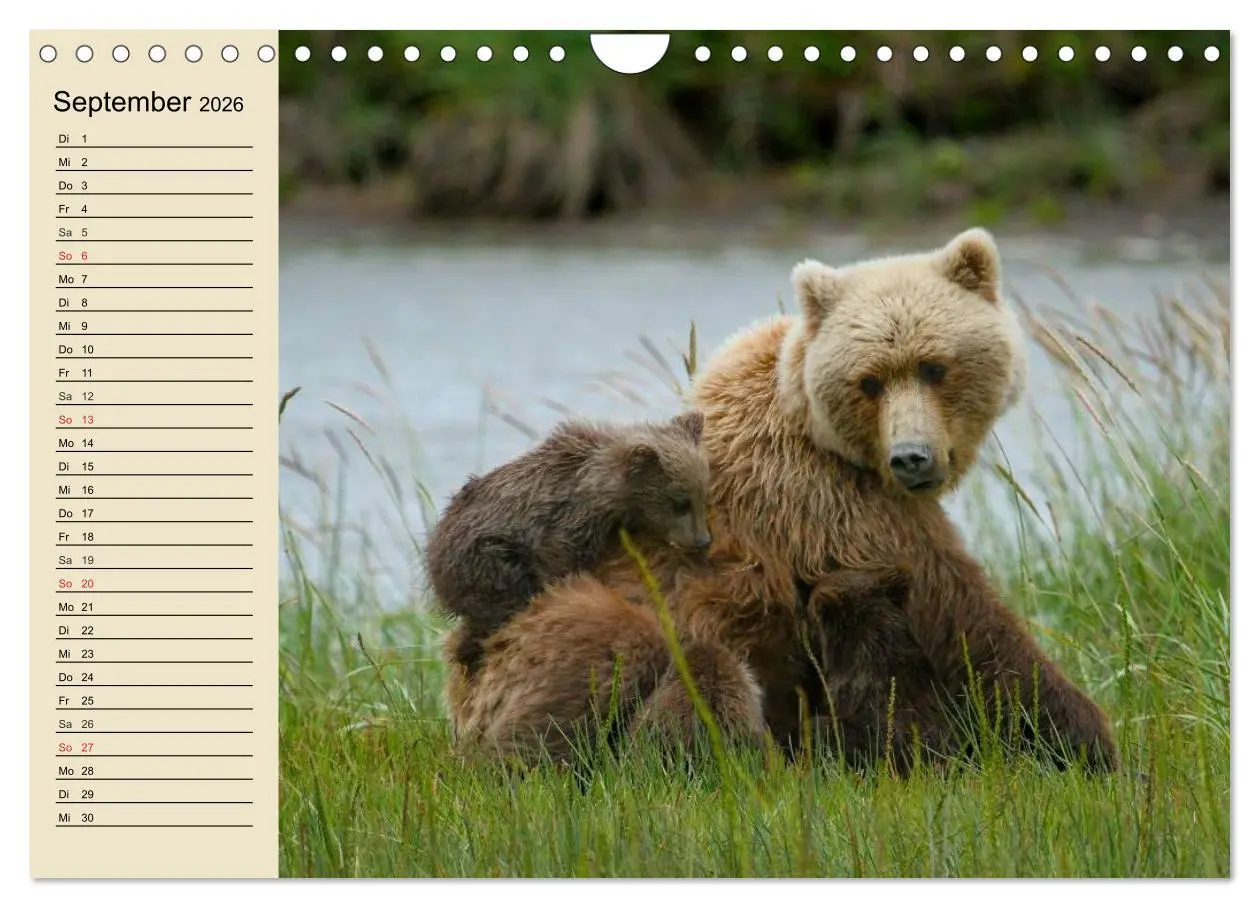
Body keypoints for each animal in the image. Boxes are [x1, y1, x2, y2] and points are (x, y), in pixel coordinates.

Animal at [425, 410, 713, 682]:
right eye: (679, 503)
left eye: (701, 495)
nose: (703, 541)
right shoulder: (564, 524)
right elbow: (559, 563)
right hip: (486, 558)